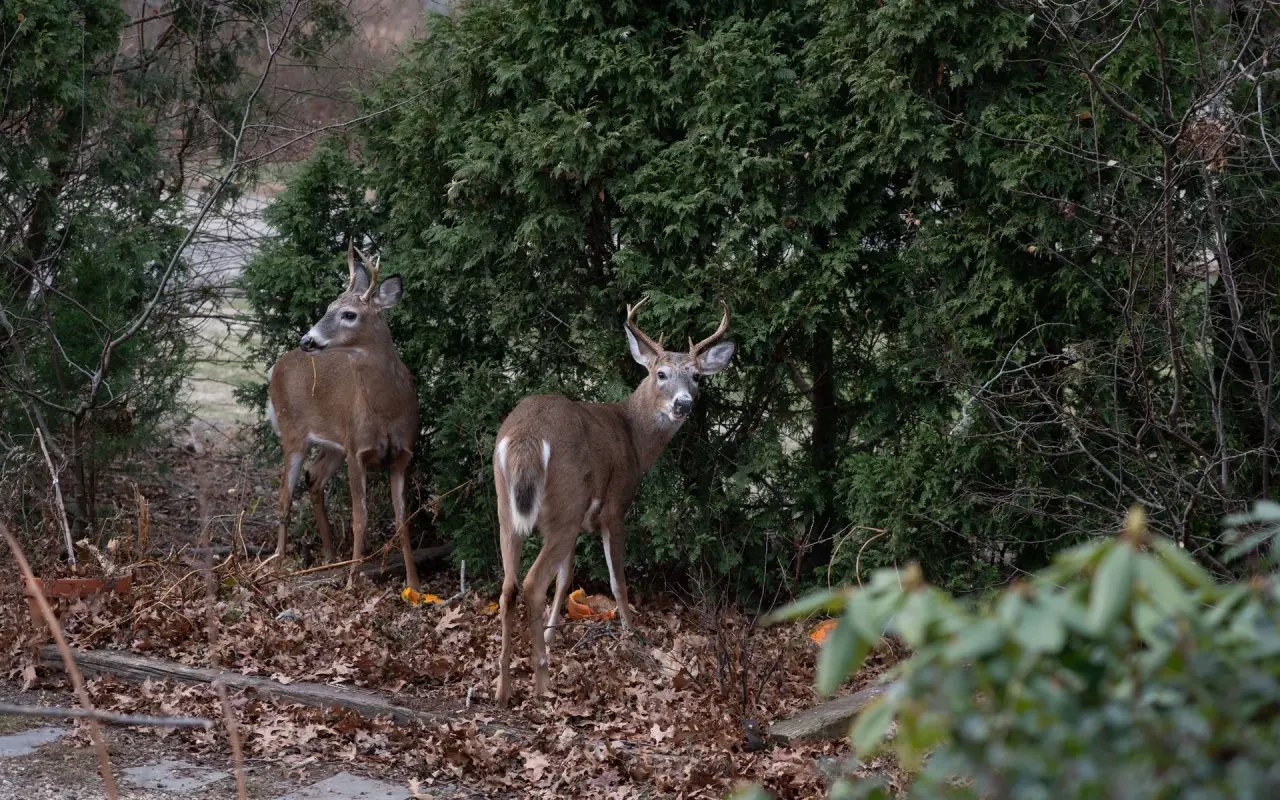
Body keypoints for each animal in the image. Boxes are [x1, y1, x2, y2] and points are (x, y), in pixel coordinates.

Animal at [266, 242, 421, 591]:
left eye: (349, 314)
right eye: (327, 307)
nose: (307, 340)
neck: (387, 410)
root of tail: (276, 366)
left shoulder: (402, 454)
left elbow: (403, 520)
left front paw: (415, 585)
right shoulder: (357, 451)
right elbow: (359, 517)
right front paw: (353, 581)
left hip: (334, 443)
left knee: (314, 478)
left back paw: (328, 557)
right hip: (293, 432)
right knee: (283, 495)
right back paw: (280, 563)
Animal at [492, 298, 735, 705]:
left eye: (697, 377)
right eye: (661, 374)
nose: (684, 404)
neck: (633, 437)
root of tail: (526, 437)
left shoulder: (577, 522)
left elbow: (566, 579)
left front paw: (552, 636)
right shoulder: (615, 507)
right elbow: (616, 579)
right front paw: (632, 634)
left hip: (508, 511)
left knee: (509, 587)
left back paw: (502, 687)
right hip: (563, 506)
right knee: (531, 583)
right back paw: (542, 684)